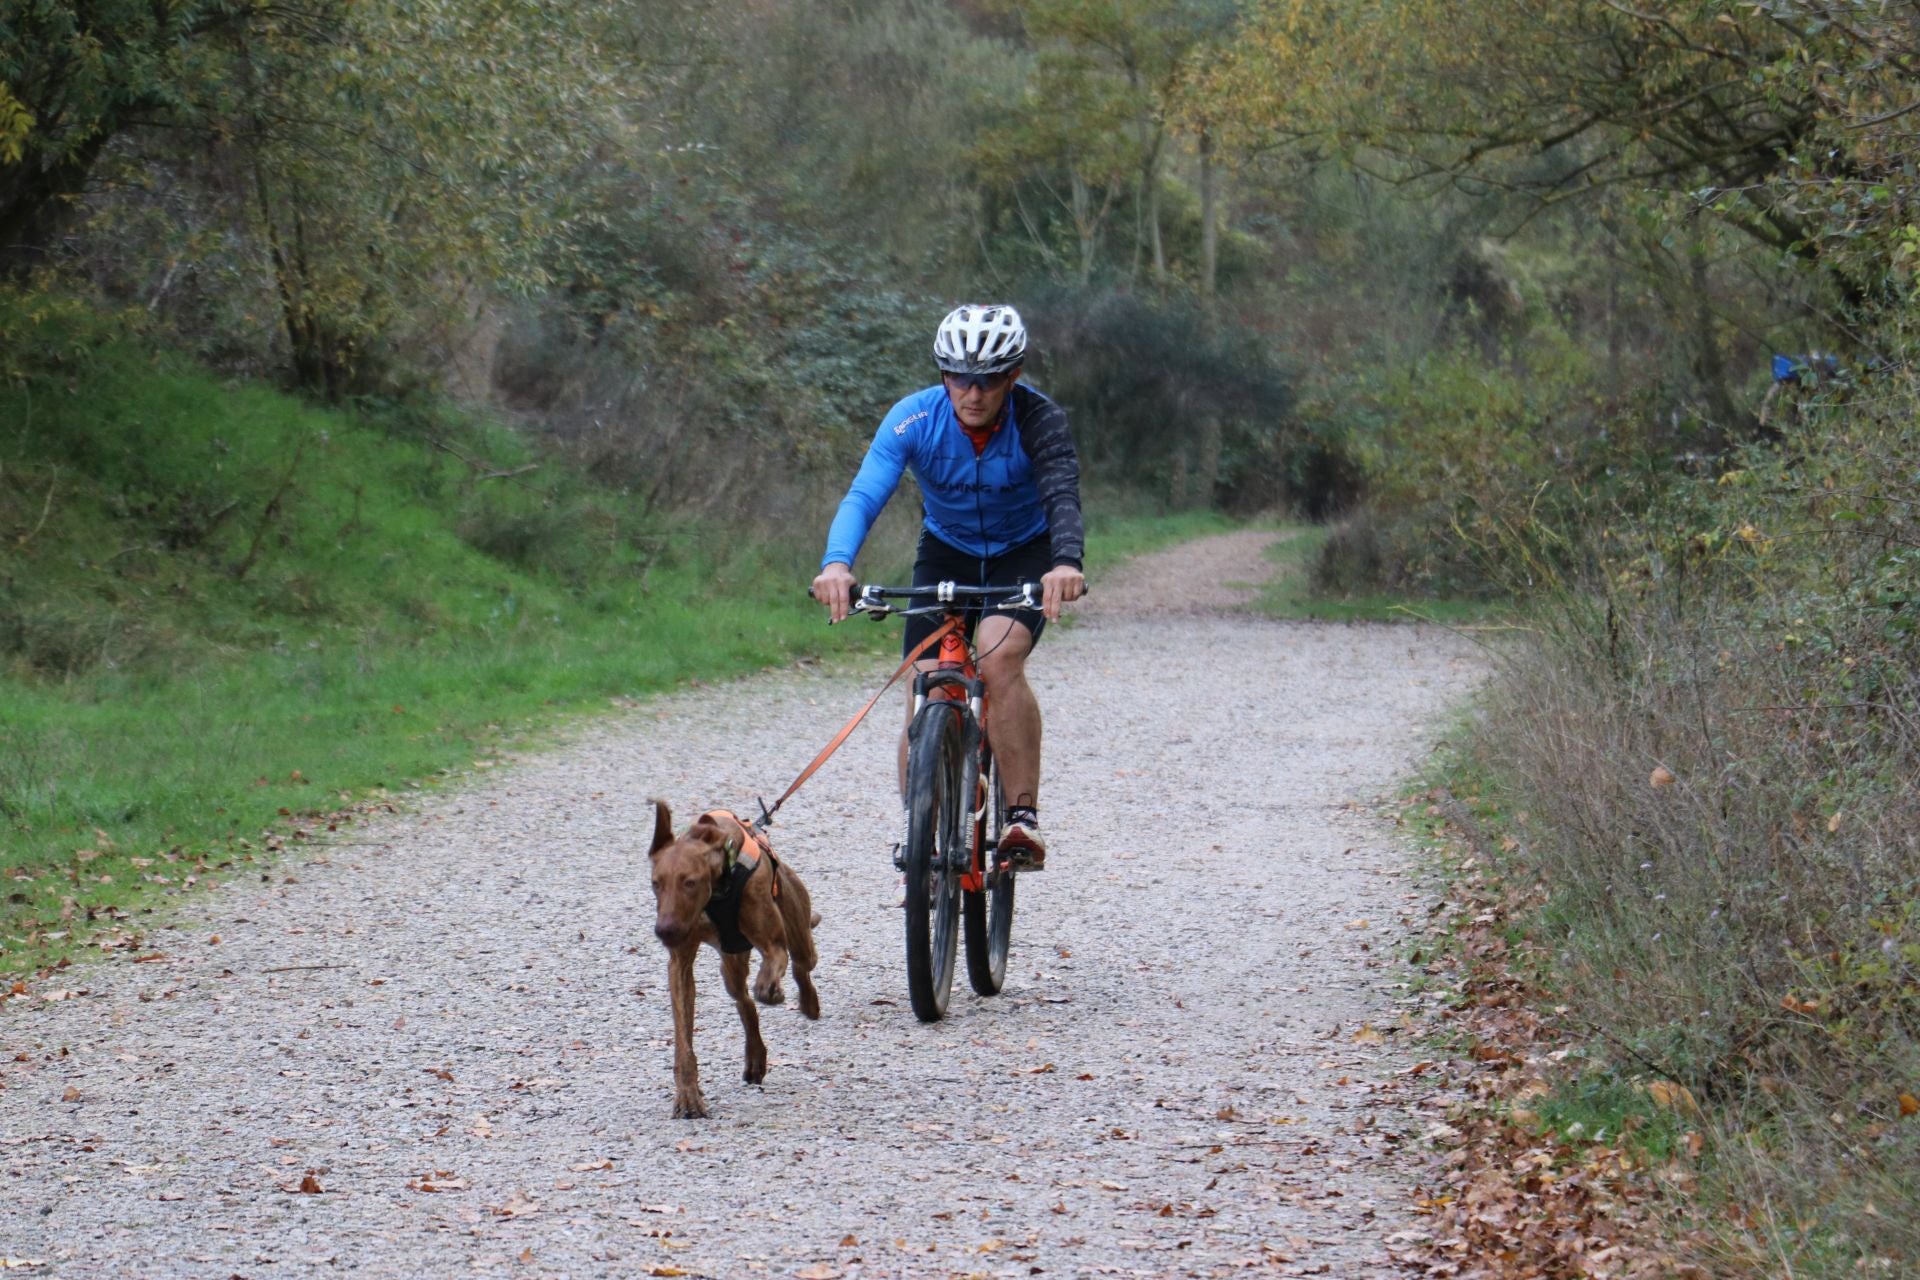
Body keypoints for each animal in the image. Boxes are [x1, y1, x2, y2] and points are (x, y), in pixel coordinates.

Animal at [648, 802, 821, 1120]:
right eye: (656, 883)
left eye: (690, 882)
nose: (664, 930)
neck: (718, 892)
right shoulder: (679, 965)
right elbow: (683, 1041)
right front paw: (688, 1095)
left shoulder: (773, 945)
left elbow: (771, 970)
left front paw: (771, 990)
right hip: (731, 964)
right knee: (744, 1002)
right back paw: (755, 1056)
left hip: (799, 934)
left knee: (801, 966)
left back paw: (807, 1002)